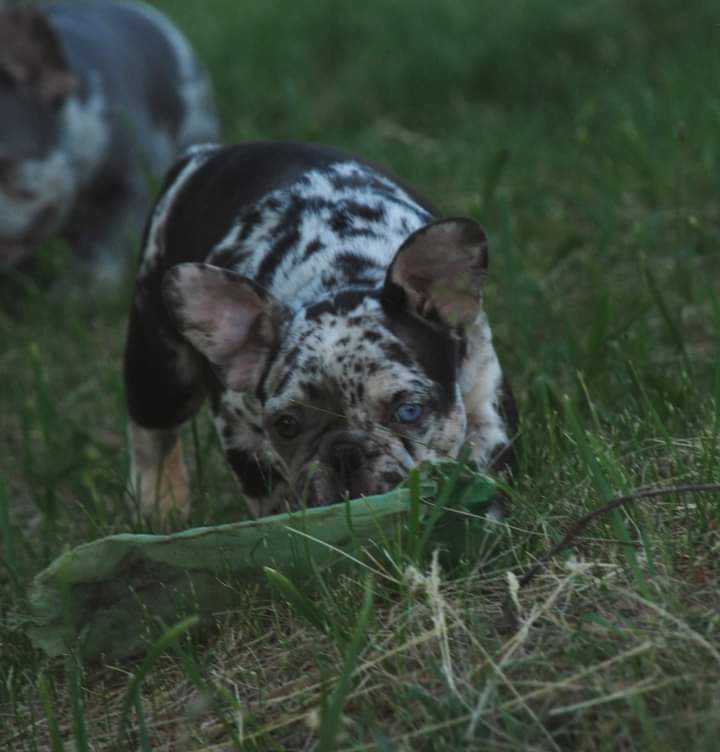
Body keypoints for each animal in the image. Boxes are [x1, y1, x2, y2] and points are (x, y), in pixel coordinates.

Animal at [125, 144, 516, 524]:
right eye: (286, 426)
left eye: (408, 412)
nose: (345, 453)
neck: (343, 274)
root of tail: (202, 155)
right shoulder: (239, 431)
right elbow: (274, 498)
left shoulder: (484, 398)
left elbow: (487, 469)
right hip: (162, 374)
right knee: (151, 436)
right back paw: (159, 507)